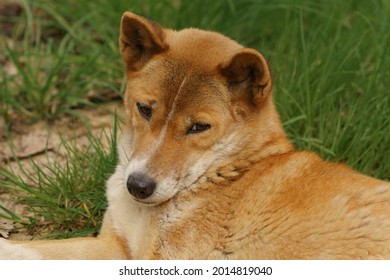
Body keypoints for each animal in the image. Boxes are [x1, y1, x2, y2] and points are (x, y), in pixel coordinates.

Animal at [0, 12, 390, 260]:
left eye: (199, 127)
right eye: (145, 109)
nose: (138, 186)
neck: (226, 172)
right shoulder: (117, 246)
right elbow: (33, 250)